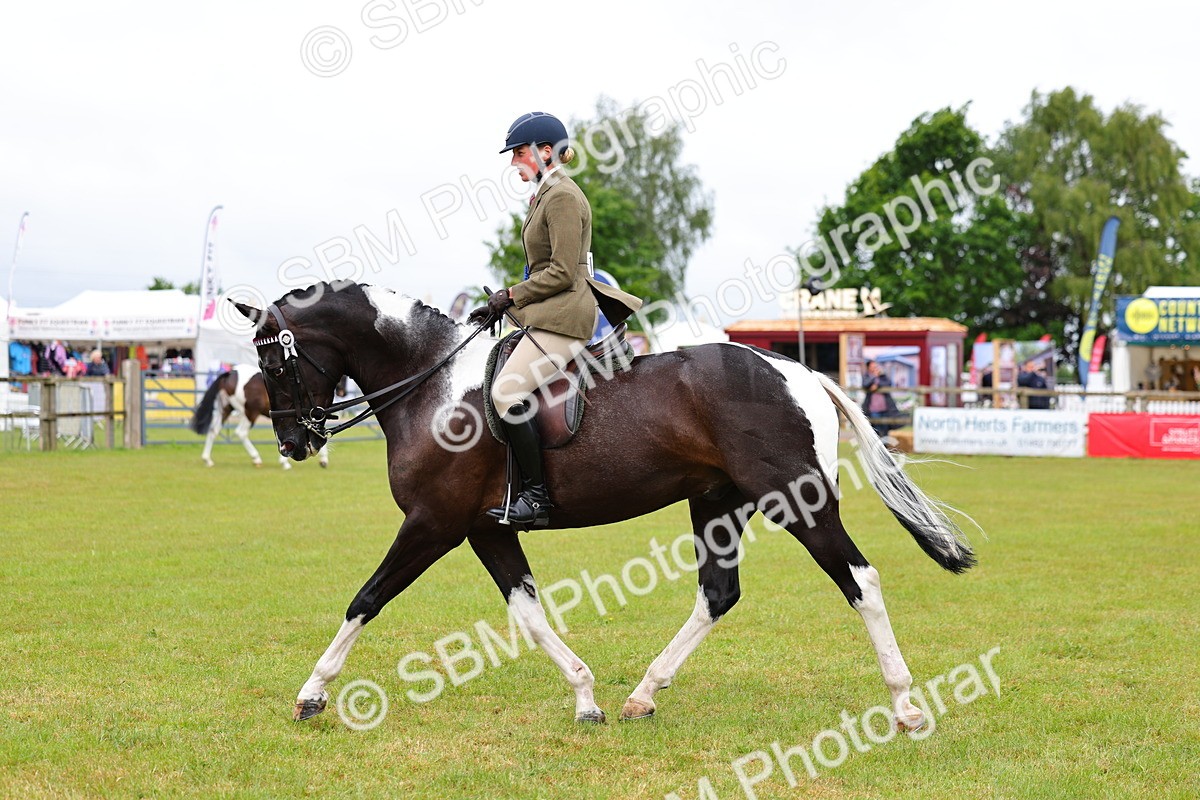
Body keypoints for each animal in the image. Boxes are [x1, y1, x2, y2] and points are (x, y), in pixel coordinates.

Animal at [189, 365, 329, 469]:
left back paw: (207, 460)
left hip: (227, 409)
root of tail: (231, 373)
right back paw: (256, 458)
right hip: (250, 413)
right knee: (241, 432)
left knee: (214, 430)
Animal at [235, 281, 978, 730]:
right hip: (717, 503)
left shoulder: (433, 524)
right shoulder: (484, 530)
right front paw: (585, 695)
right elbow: (529, 612)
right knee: (718, 593)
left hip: (795, 500)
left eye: (273, 365)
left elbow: (366, 597)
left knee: (860, 580)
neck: (433, 387)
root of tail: (800, 371)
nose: (295, 442)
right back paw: (642, 694)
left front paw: (313, 692)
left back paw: (906, 706)